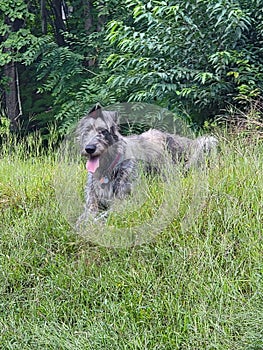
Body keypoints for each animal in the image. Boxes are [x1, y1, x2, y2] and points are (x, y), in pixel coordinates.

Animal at [75, 102, 218, 220]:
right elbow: (85, 215)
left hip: (207, 142)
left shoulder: (125, 201)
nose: (89, 148)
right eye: (87, 130)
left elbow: (103, 216)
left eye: (103, 131)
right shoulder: (91, 200)